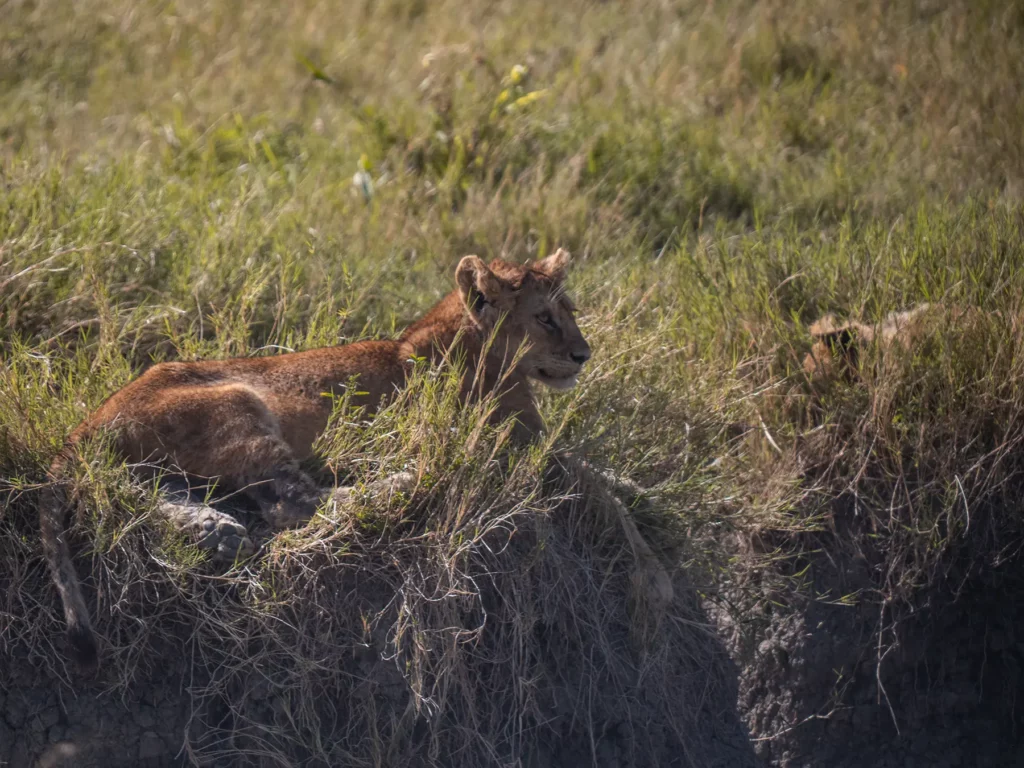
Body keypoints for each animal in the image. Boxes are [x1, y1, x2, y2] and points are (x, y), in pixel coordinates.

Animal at [41, 249, 672, 673]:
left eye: (571, 310)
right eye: (545, 317)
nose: (584, 355)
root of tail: (85, 423)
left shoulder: (537, 442)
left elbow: (602, 475)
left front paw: (647, 494)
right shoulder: (516, 447)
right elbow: (599, 493)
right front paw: (652, 576)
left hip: (160, 460)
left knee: (142, 492)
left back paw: (213, 528)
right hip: (240, 404)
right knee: (295, 506)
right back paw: (401, 480)